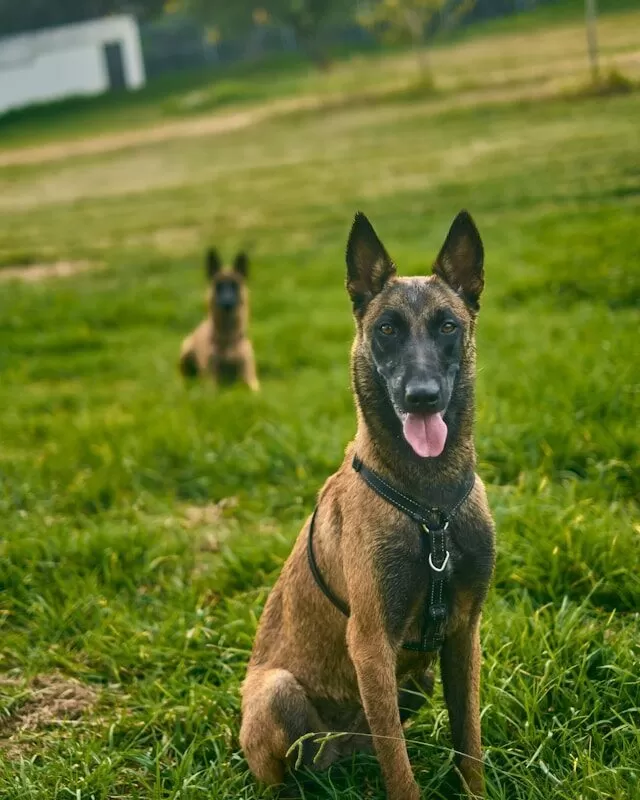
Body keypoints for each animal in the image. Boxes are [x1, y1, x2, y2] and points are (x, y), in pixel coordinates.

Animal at [178, 248, 258, 390]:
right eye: (218, 286)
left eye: (234, 285)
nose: (227, 303)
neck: (228, 339)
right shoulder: (211, 381)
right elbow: (213, 388)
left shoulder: (250, 379)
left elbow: (253, 388)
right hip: (185, 350)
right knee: (183, 377)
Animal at [240, 209, 496, 796]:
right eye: (387, 330)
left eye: (448, 326)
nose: (422, 397)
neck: (431, 504)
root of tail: (339, 754)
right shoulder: (372, 642)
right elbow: (399, 770)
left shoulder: (463, 635)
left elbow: (468, 742)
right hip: (277, 693)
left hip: (419, 679)